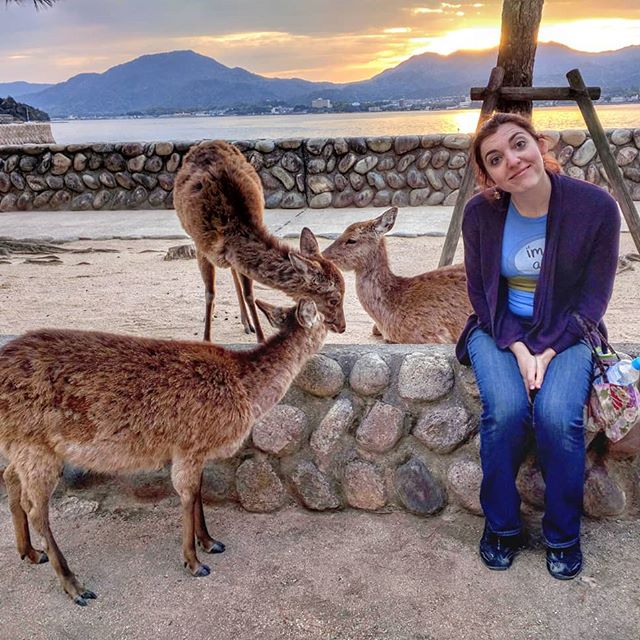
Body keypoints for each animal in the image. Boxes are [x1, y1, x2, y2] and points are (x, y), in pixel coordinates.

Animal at [0, 296, 328, 604]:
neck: (246, 391)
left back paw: (30, 552)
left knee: (10, 476)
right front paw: (194, 562)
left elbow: (197, 493)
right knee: (36, 508)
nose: (336, 325)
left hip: (20, 444)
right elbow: (187, 495)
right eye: (323, 318)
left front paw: (211, 542)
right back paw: (75, 586)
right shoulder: (189, 444)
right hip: (35, 444)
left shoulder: (195, 450)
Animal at [172, 138, 348, 342]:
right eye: (334, 299)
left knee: (234, 273)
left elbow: (249, 294)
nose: (342, 327)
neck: (230, 229)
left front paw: (261, 338)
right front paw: (206, 339)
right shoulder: (202, 247)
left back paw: (246, 323)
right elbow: (210, 293)